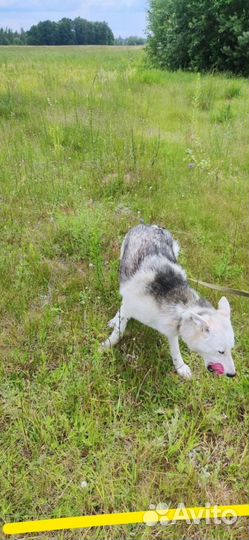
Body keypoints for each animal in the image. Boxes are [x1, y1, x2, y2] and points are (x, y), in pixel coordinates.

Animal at [102, 224, 236, 380]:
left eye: (231, 349)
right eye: (220, 351)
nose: (233, 375)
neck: (182, 307)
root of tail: (150, 225)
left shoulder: (173, 330)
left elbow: (176, 351)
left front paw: (180, 367)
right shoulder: (131, 305)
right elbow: (118, 332)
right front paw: (105, 346)